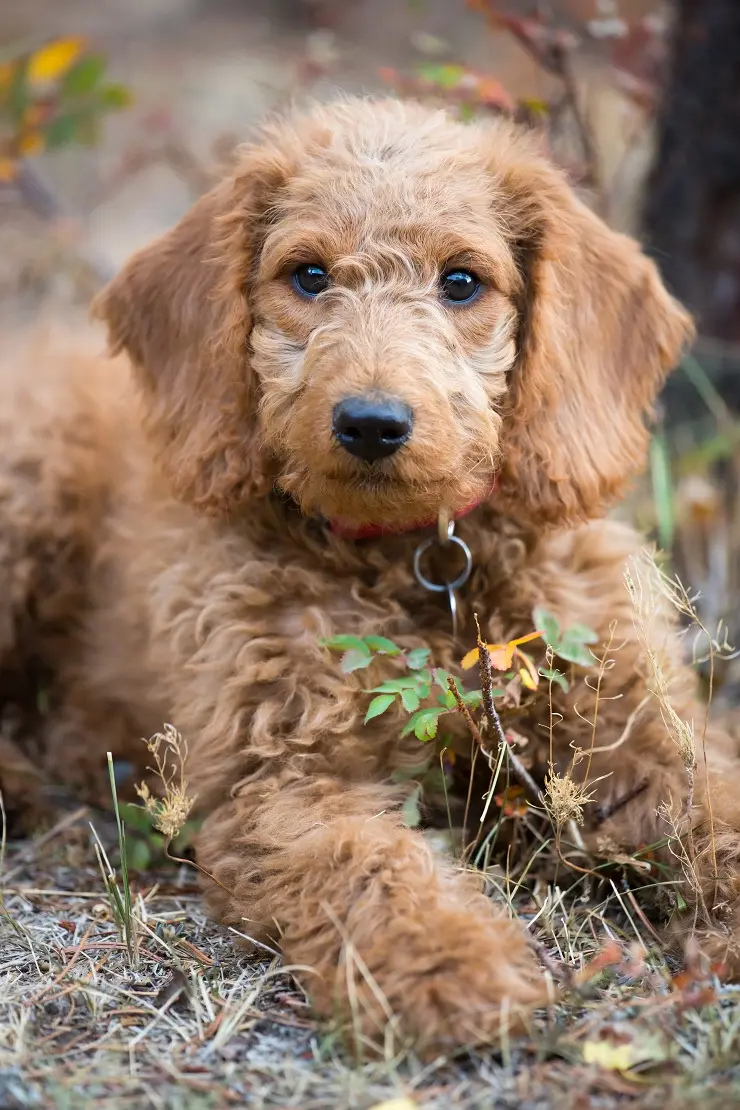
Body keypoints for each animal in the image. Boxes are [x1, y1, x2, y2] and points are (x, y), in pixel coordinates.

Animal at [1, 95, 740, 1047]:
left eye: (461, 282)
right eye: (309, 275)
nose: (372, 423)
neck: (420, 560)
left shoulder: (637, 730)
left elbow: (714, 799)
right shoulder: (281, 775)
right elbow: (369, 860)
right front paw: (448, 963)